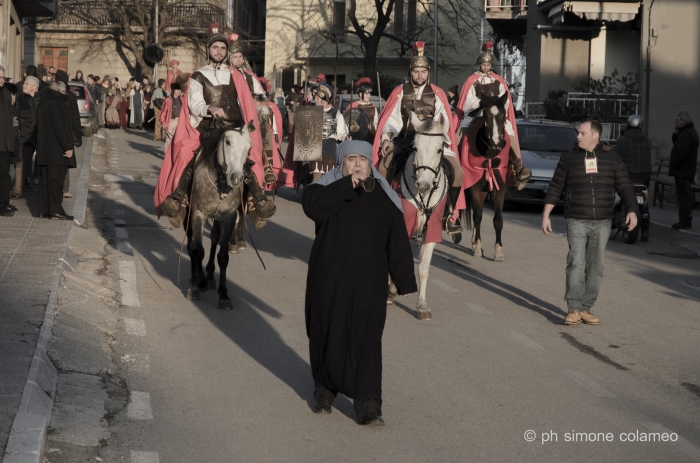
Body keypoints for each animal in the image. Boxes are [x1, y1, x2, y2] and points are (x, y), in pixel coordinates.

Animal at [185, 120, 256, 308]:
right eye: (228, 142)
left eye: (249, 147)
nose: (236, 178)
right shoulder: (197, 214)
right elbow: (197, 250)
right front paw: (198, 283)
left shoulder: (228, 217)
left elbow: (223, 256)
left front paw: (223, 294)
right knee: (190, 243)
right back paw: (194, 281)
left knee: (215, 238)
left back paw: (210, 275)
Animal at [388, 114, 448, 320]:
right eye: (415, 148)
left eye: (439, 149)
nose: (423, 185)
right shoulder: (403, 224)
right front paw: (391, 291)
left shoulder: (431, 230)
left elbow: (423, 268)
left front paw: (422, 305)